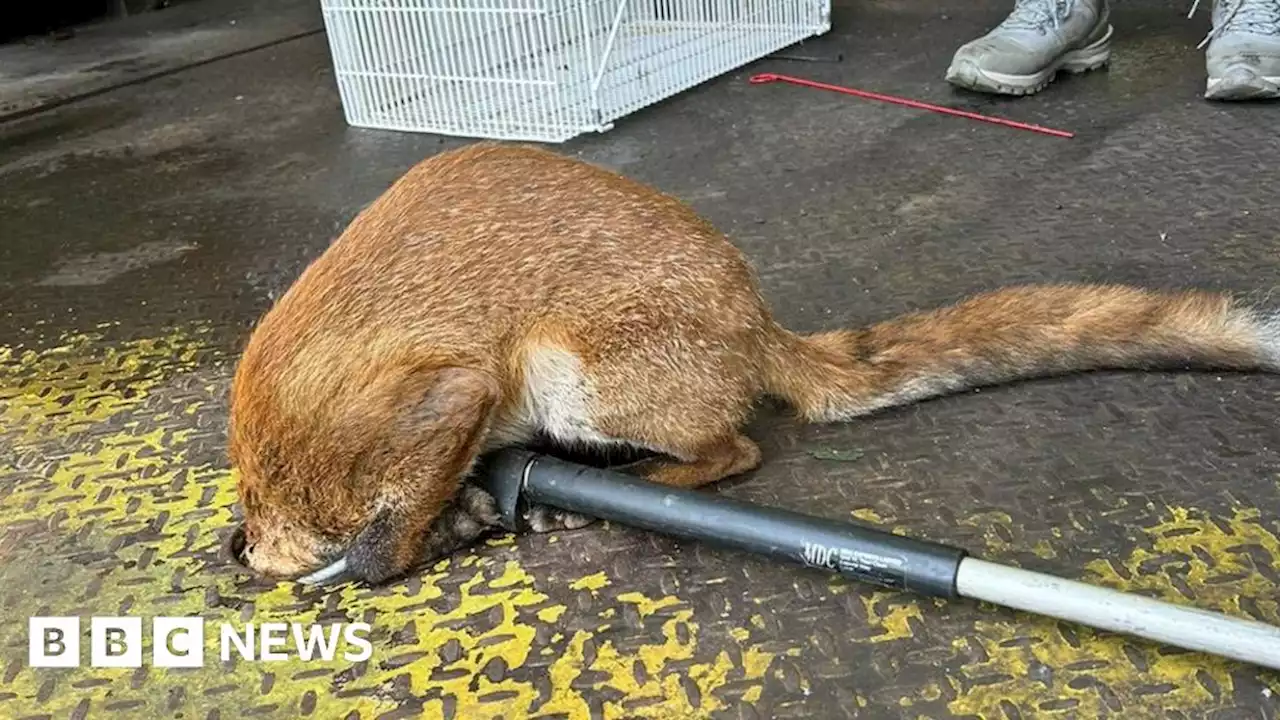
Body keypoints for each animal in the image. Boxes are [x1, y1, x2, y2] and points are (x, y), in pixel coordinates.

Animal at [225, 139, 1280, 584]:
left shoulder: (442, 397)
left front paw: (418, 541)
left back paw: (645, 485)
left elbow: (378, 551)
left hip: (577, 383)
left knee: (736, 451)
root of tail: (754, 311)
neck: (275, 471)